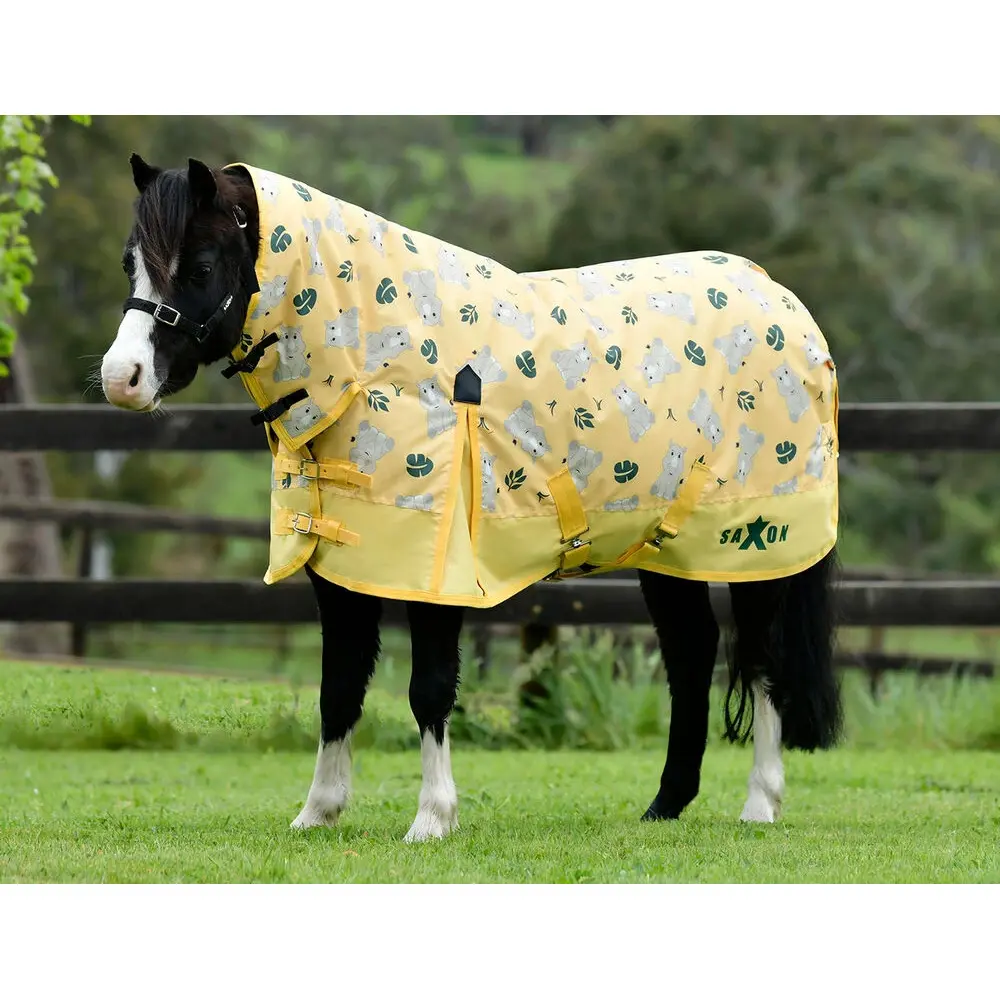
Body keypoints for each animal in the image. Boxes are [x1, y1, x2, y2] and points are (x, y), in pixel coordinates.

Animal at [99, 154, 842, 842]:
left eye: (200, 266)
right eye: (130, 264)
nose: (121, 378)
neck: (380, 362)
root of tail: (783, 303)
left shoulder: (438, 574)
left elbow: (428, 687)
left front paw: (432, 818)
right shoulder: (342, 570)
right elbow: (338, 687)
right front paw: (319, 812)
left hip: (755, 550)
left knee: (761, 659)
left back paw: (760, 804)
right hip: (664, 550)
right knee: (692, 656)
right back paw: (665, 806)